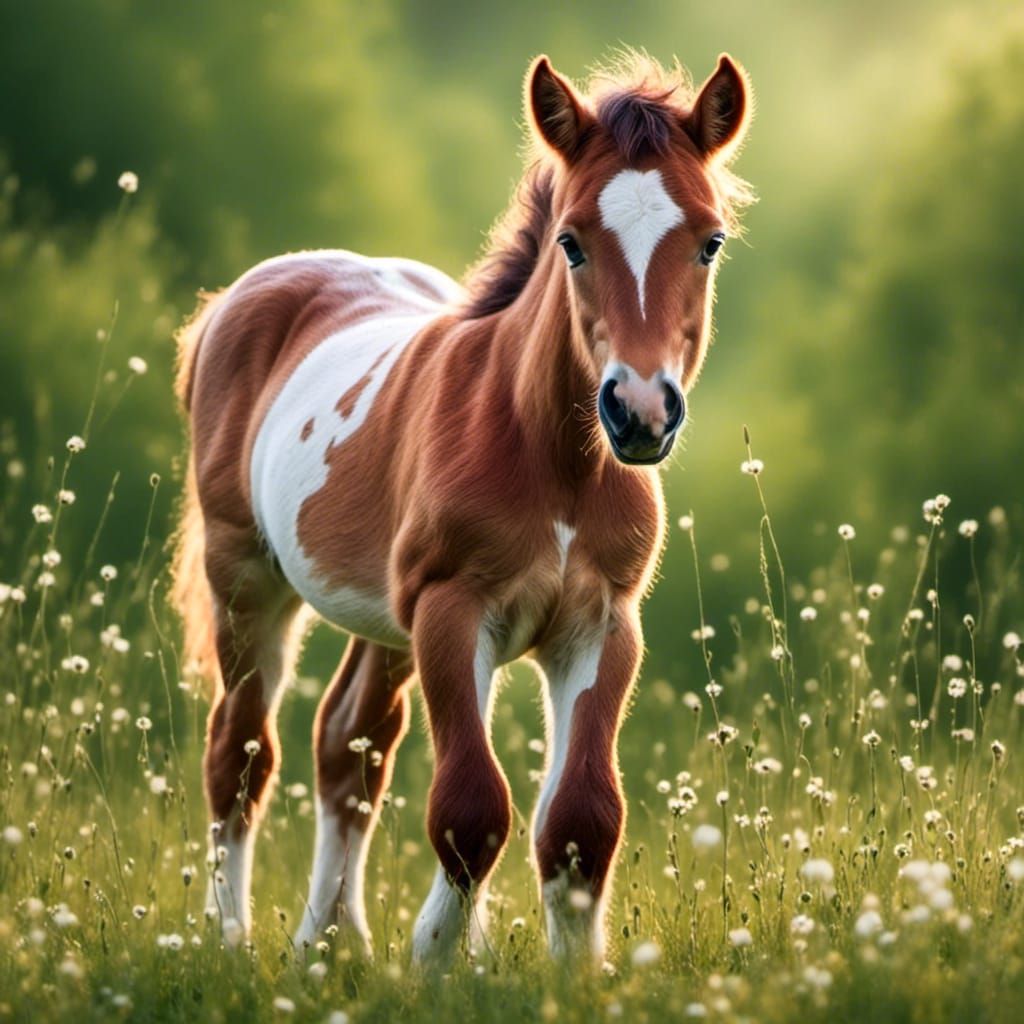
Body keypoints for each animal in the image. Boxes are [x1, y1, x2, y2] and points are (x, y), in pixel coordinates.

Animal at [172, 51, 752, 965]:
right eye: (571, 241)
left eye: (709, 241)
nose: (639, 413)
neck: (555, 463)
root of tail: (245, 295)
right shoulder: (451, 611)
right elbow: (471, 806)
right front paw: (440, 959)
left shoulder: (602, 623)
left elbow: (582, 817)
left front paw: (573, 970)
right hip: (247, 580)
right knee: (241, 752)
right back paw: (229, 939)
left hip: (383, 623)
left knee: (348, 744)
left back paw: (331, 942)